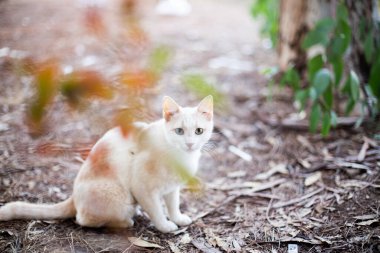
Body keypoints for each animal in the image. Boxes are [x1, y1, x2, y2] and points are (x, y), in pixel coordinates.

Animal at [0, 95, 214, 233]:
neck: (182, 158)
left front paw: (178, 218)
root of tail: (73, 196)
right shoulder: (143, 188)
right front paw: (166, 227)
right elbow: (157, 212)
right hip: (119, 198)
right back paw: (125, 222)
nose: (190, 143)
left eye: (199, 131)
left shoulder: (172, 188)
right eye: (179, 131)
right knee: (83, 220)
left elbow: (173, 206)